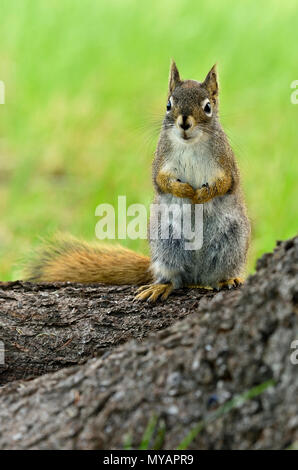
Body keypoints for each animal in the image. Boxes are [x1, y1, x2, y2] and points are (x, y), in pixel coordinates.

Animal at [25, 61, 250, 302]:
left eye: (207, 107)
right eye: (168, 104)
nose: (184, 122)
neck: (190, 144)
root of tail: (197, 278)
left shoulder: (226, 163)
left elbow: (226, 183)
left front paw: (201, 194)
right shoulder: (161, 162)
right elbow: (161, 181)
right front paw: (185, 190)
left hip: (232, 243)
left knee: (218, 273)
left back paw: (226, 280)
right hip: (165, 244)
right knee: (174, 278)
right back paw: (161, 286)